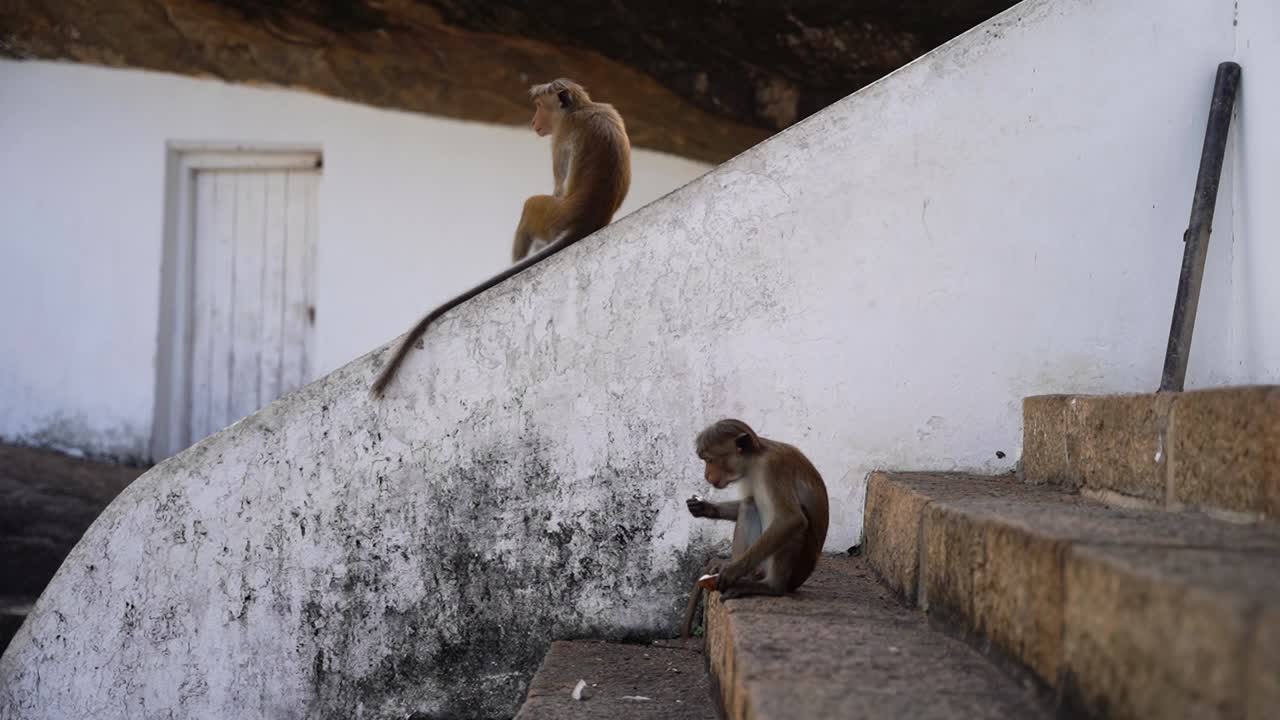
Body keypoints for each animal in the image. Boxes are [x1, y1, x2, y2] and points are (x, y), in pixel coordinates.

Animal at [369, 78, 631, 398]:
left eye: (540, 107)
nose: (533, 121)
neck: (581, 108)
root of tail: (586, 221)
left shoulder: (559, 139)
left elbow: (557, 185)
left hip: (551, 217)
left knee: (531, 204)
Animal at [679, 419, 830, 638]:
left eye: (709, 459)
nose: (706, 476)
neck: (756, 459)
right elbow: (746, 502)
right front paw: (706, 507)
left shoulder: (773, 467)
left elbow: (791, 519)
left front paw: (732, 571)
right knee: (749, 504)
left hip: (796, 571)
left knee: (795, 522)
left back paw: (771, 586)